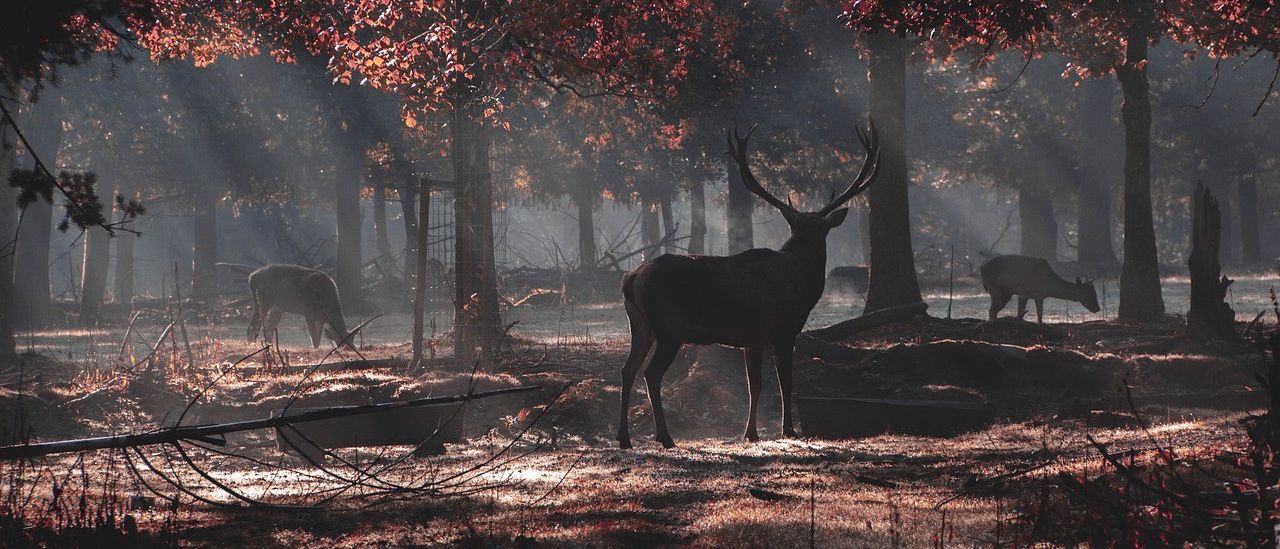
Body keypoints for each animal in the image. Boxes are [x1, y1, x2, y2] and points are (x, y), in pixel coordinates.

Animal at [220, 263, 358, 349]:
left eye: (352, 341)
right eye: (342, 343)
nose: (352, 349)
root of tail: (250, 277)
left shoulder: (320, 319)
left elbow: (318, 337)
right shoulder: (308, 312)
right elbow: (314, 338)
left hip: (277, 307)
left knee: (268, 328)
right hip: (263, 301)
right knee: (253, 327)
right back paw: (252, 346)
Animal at [617, 118, 880, 449]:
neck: (803, 283)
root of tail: (631, 279)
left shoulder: (751, 339)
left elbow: (754, 384)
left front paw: (751, 433)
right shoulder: (783, 330)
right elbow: (784, 381)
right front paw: (788, 429)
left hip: (640, 326)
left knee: (627, 369)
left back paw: (624, 438)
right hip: (669, 327)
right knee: (651, 373)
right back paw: (665, 437)